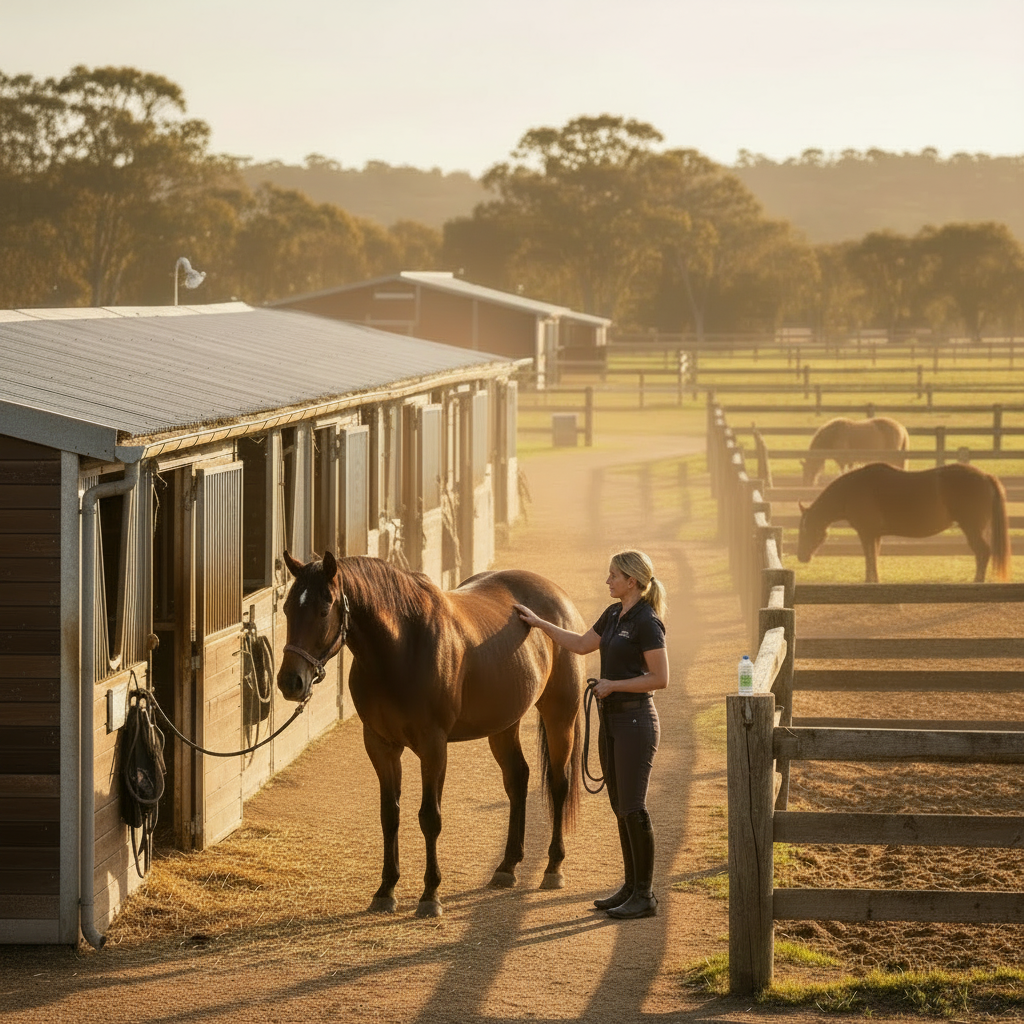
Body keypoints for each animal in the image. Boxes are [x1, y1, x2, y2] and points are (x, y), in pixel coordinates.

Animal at [276, 550, 584, 918]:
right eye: (287, 609)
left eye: (324, 610)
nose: (290, 682)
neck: (403, 647)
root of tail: (559, 598)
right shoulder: (380, 746)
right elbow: (389, 815)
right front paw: (385, 890)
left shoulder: (434, 746)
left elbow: (429, 817)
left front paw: (430, 895)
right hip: (503, 724)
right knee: (517, 779)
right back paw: (507, 867)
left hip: (560, 716)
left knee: (558, 783)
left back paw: (553, 868)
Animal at [796, 462, 1011, 583]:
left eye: (806, 529)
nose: (801, 557)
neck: (852, 489)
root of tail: (985, 476)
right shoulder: (875, 535)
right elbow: (873, 558)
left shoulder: (866, 533)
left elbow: (869, 558)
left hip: (972, 529)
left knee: (983, 552)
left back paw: (977, 581)